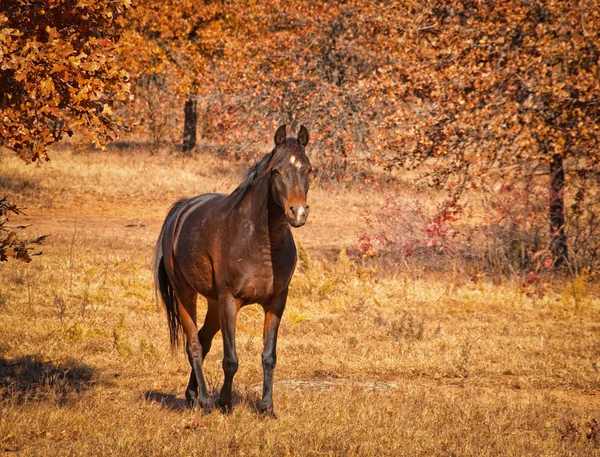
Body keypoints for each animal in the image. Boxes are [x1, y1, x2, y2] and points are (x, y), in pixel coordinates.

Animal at [155, 124, 312, 414]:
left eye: (309, 169)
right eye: (276, 171)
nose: (297, 212)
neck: (260, 241)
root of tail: (182, 209)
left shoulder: (276, 302)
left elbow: (269, 356)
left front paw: (266, 407)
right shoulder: (230, 301)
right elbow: (230, 359)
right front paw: (225, 403)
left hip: (214, 303)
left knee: (204, 341)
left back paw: (192, 394)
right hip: (186, 294)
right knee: (194, 345)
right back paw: (205, 400)